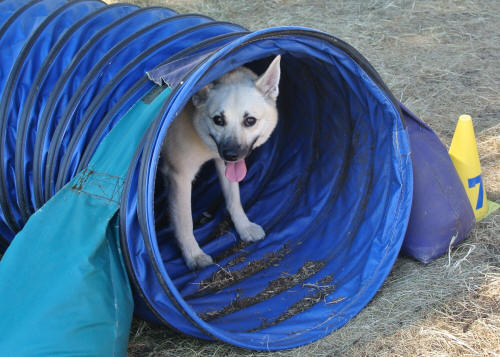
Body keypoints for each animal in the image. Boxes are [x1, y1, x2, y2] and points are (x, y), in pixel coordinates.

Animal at [163, 55, 284, 268]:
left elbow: (234, 199)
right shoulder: (179, 177)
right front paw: (193, 255)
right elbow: (185, 222)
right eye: (218, 120)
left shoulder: (224, 166)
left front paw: (244, 227)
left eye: (250, 121)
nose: (231, 154)